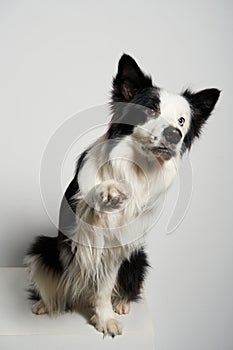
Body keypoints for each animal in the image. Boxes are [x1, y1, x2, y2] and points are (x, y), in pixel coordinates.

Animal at [23, 54, 220, 336]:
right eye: (150, 109)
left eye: (182, 121)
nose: (174, 134)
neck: (137, 165)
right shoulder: (80, 229)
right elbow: (93, 197)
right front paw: (109, 189)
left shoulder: (117, 246)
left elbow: (104, 287)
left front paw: (104, 318)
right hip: (43, 248)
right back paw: (44, 303)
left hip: (138, 258)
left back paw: (121, 302)